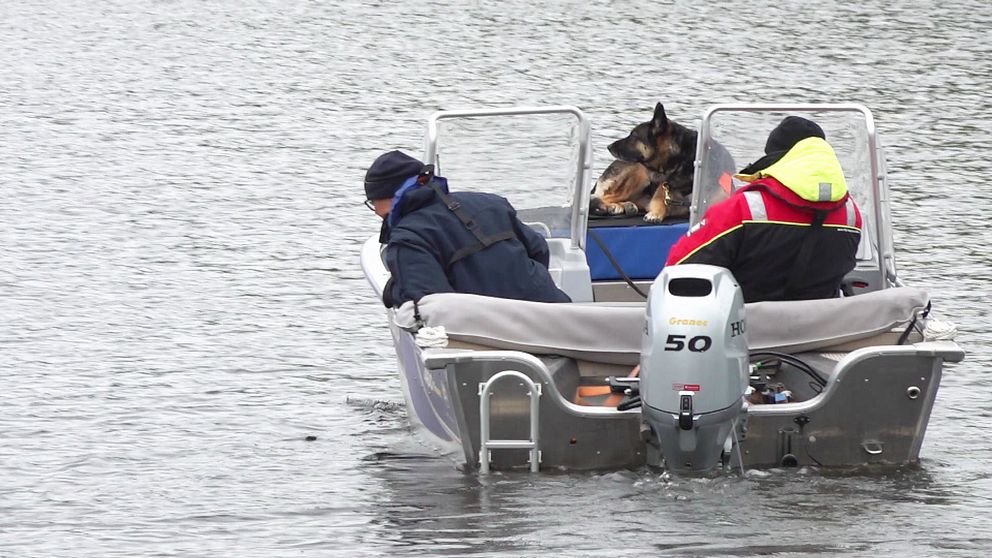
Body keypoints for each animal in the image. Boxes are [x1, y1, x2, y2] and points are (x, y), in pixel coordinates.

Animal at [588, 103, 736, 223]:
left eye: (633, 135)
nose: (609, 146)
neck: (683, 163)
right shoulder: (662, 191)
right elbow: (659, 202)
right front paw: (655, 214)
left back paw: (626, 205)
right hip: (635, 177)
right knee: (599, 197)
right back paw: (613, 206)